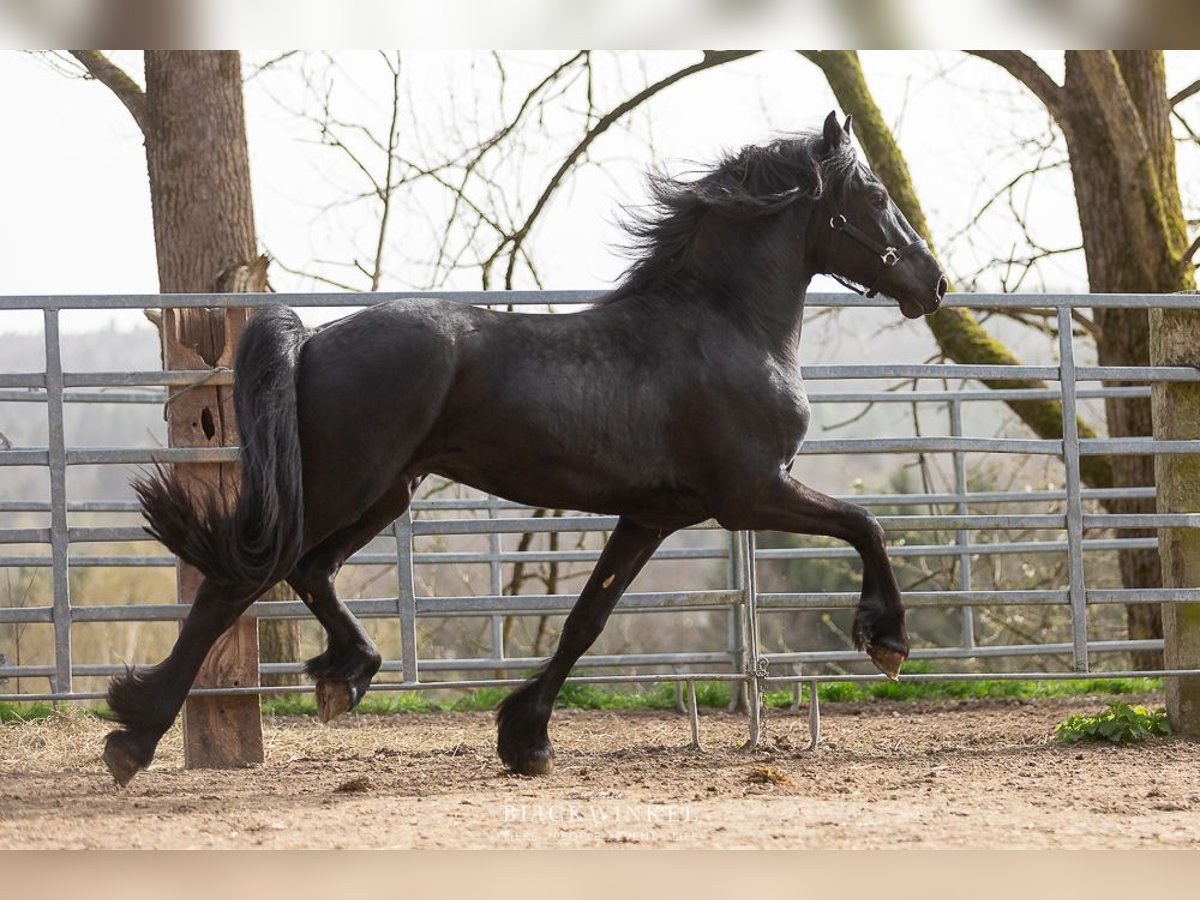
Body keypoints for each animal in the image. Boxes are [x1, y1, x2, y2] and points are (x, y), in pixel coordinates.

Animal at [103, 112, 945, 787]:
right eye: (874, 198)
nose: (933, 283)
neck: (722, 329)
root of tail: (311, 341)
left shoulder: (654, 516)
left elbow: (586, 621)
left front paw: (526, 739)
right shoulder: (751, 494)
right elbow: (866, 523)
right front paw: (887, 639)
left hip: (386, 489)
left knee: (308, 570)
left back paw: (347, 677)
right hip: (346, 484)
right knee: (237, 584)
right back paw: (134, 737)